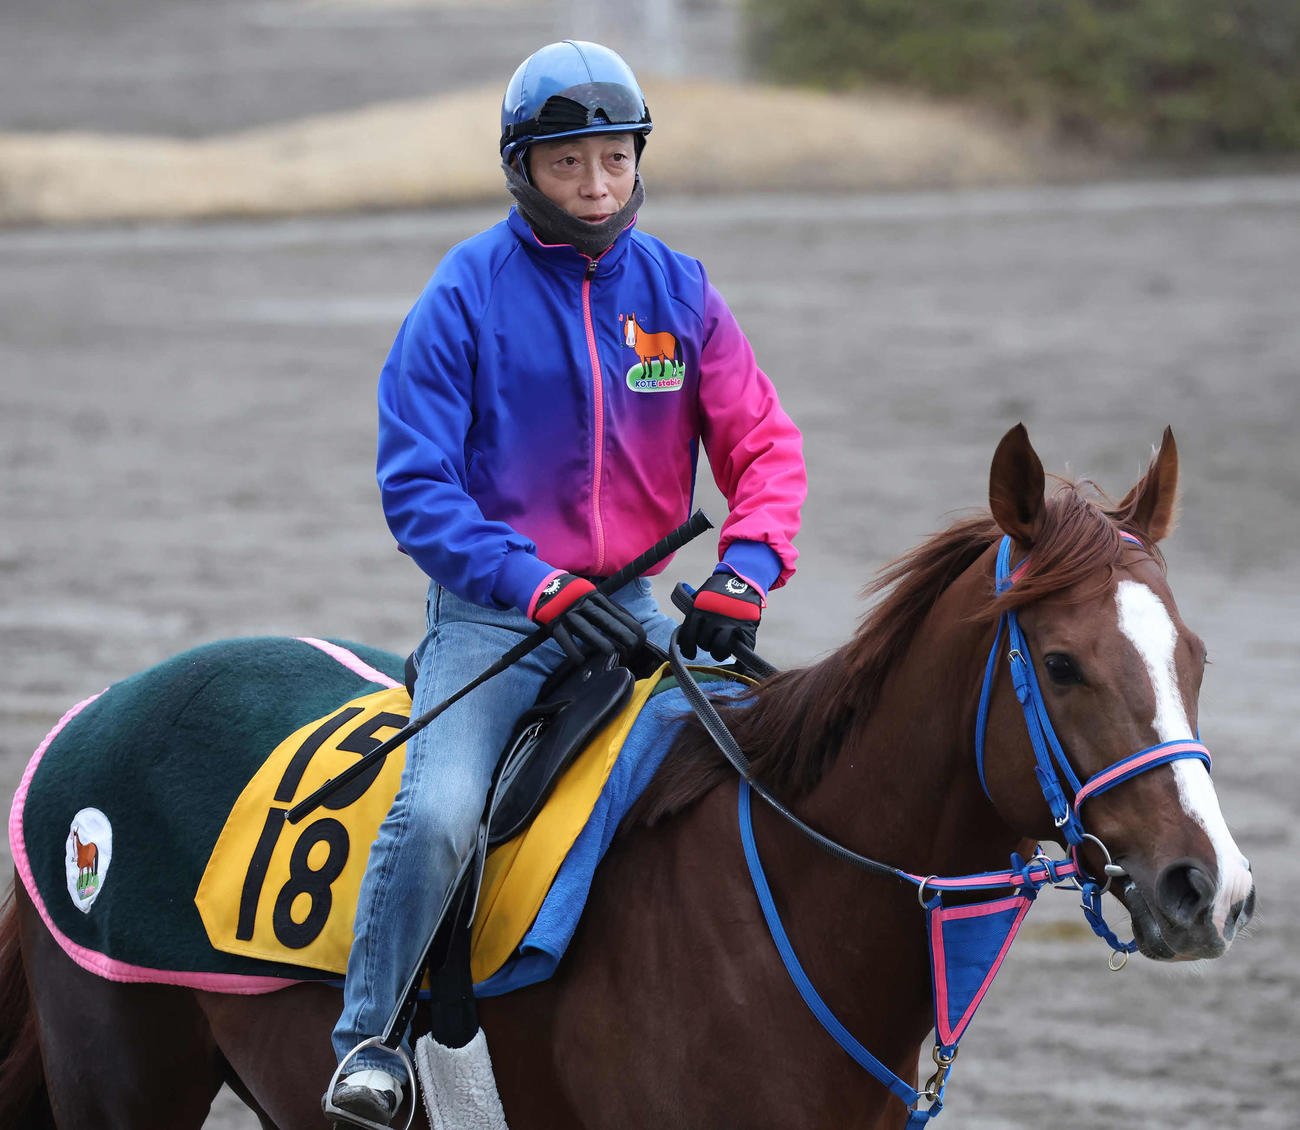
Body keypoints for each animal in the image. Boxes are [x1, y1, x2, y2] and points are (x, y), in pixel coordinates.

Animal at [0, 424, 1255, 1130]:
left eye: (1193, 654)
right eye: (1063, 661)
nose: (1210, 886)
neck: (786, 899)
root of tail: (88, 715)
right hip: (124, 1083)